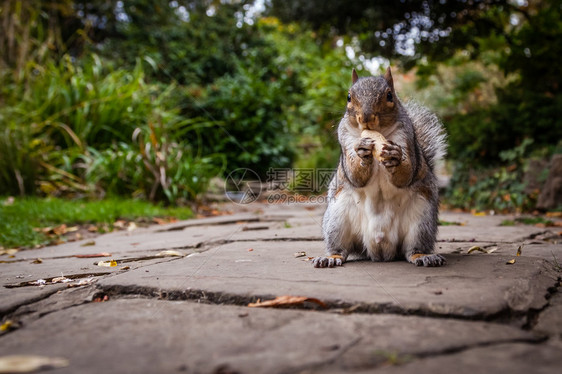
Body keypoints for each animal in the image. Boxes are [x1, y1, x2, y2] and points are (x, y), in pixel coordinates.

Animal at [316, 66, 446, 266]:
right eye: (348, 97)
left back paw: (423, 256)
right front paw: (362, 152)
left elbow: (407, 174)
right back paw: (330, 257)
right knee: (341, 248)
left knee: (412, 249)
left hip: (422, 221)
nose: (366, 117)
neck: (378, 132)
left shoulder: (405, 136)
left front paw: (395, 157)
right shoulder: (345, 138)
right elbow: (354, 175)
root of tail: (380, 248)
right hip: (337, 220)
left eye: (389, 95)